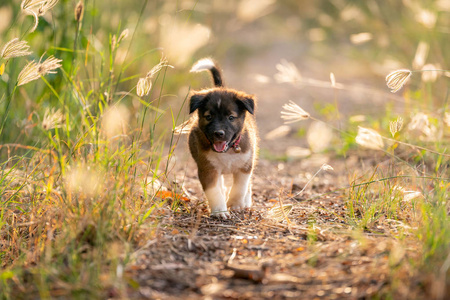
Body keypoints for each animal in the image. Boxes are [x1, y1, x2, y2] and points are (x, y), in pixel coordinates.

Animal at [188, 58, 258, 218]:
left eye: (231, 117)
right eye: (209, 117)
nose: (218, 133)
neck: (228, 152)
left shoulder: (245, 166)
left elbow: (240, 188)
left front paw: (236, 204)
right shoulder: (208, 169)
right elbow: (214, 192)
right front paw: (220, 211)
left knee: (247, 186)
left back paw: (246, 202)